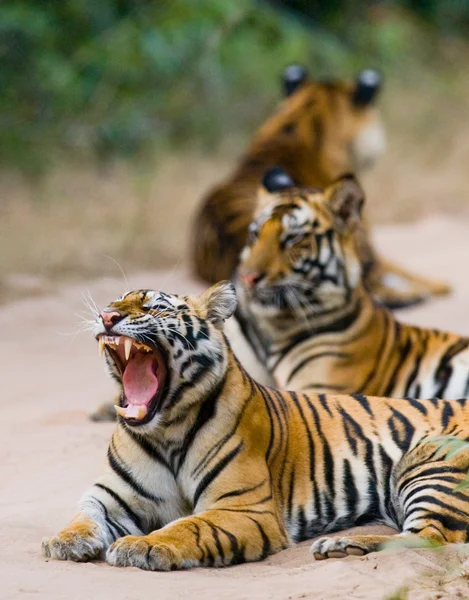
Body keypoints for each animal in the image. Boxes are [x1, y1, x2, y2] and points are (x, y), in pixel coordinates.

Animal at [43, 282, 469, 568]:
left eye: (154, 306)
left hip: (428, 463)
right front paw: (62, 541)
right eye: (113, 303)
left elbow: (188, 526)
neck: (166, 429)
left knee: (432, 537)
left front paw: (141, 546)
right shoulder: (111, 495)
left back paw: (337, 546)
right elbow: (85, 515)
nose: (106, 317)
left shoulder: (244, 508)